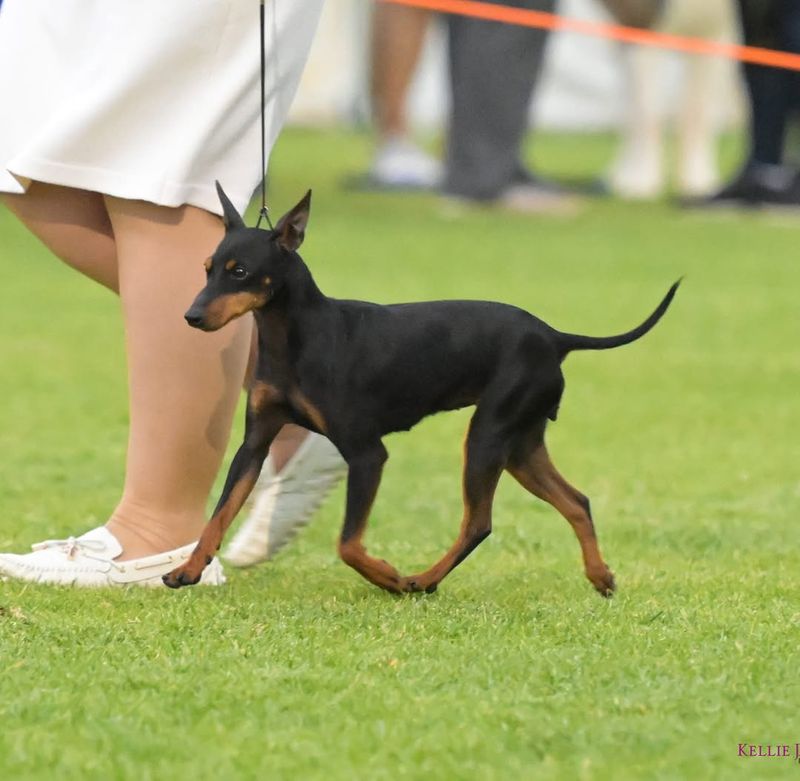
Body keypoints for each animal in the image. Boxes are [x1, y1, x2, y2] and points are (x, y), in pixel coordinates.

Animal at [164, 184, 680, 596]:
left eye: (240, 272)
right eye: (208, 268)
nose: (191, 316)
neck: (295, 336)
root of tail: (553, 336)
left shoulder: (368, 454)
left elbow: (348, 543)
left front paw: (387, 577)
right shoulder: (254, 444)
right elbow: (219, 513)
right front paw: (189, 569)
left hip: (488, 436)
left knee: (479, 522)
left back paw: (423, 581)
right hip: (520, 445)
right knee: (576, 501)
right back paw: (599, 576)